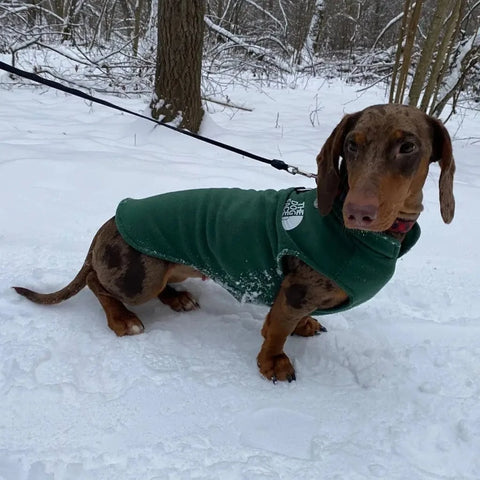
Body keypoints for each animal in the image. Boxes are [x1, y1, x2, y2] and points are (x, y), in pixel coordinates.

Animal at [14, 104, 454, 382]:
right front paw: (273, 363)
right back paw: (122, 318)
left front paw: (306, 325)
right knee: (97, 284)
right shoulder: (294, 292)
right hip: (138, 278)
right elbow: (276, 330)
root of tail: (108, 223)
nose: (357, 212)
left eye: (408, 146)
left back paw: (177, 298)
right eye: (351, 144)